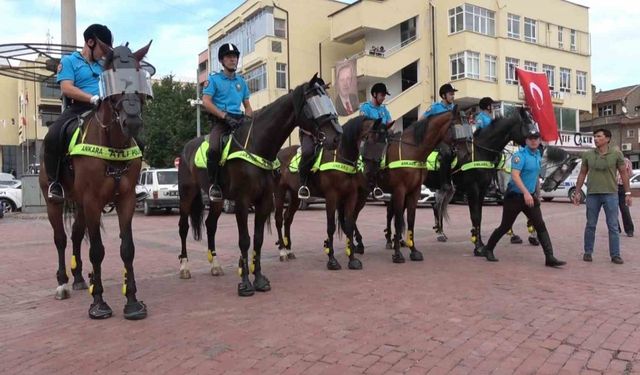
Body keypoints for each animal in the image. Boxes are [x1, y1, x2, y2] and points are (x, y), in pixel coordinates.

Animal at [39, 42, 153, 322]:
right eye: (110, 76)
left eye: (138, 75)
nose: (132, 121)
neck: (112, 145)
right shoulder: (92, 202)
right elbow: (97, 251)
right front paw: (99, 303)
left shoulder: (125, 200)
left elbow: (127, 248)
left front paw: (132, 301)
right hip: (54, 202)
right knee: (60, 238)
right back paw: (62, 283)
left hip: (80, 205)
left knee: (76, 235)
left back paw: (80, 277)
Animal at [178, 74, 342, 296]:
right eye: (314, 102)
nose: (337, 136)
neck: (257, 147)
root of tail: (186, 147)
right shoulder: (242, 202)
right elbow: (245, 240)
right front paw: (245, 283)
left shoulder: (264, 202)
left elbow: (258, 239)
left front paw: (259, 279)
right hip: (187, 194)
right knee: (183, 227)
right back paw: (184, 267)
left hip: (217, 200)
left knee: (210, 226)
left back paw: (215, 265)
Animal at [272, 117, 382, 270]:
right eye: (368, 139)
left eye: (383, 142)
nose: (372, 171)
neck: (341, 158)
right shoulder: (332, 197)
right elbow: (331, 227)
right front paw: (332, 260)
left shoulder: (351, 196)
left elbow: (349, 224)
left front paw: (352, 259)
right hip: (279, 192)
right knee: (278, 219)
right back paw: (282, 251)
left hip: (294, 195)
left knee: (288, 218)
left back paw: (289, 250)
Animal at [376, 109, 460, 264]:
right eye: (457, 126)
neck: (412, 152)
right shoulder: (401, 190)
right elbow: (399, 220)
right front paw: (398, 254)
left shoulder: (414, 192)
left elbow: (411, 219)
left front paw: (413, 250)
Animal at [424, 107, 540, 258]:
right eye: (528, 126)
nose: (539, 145)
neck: (481, 152)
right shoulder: (473, 189)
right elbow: (475, 216)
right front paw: (478, 246)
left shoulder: (483, 190)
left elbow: (480, 215)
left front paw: (479, 244)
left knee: (436, 206)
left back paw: (440, 233)